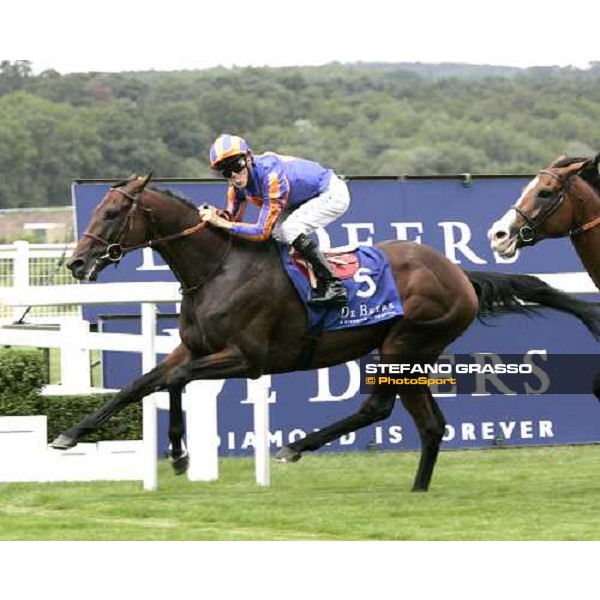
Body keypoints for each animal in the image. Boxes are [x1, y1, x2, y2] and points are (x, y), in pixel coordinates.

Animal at [51, 173, 600, 492]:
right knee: (431, 425)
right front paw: (73, 434)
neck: (219, 267)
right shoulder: (193, 347)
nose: (75, 262)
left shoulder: (248, 357)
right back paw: (416, 491)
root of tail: (459, 273)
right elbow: (144, 383)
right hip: (414, 354)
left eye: (113, 212)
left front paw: (180, 454)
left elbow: (173, 381)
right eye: (98, 209)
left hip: (402, 343)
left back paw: (297, 445)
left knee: (378, 407)